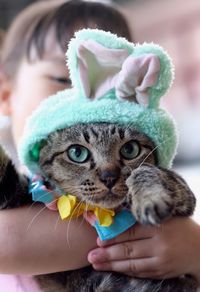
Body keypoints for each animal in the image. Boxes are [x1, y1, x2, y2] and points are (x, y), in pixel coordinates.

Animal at [0, 122, 197, 290]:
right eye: (77, 153)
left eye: (130, 150)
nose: (108, 176)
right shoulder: (17, 190)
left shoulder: (184, 193)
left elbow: (145, 170)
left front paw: (149, 199)